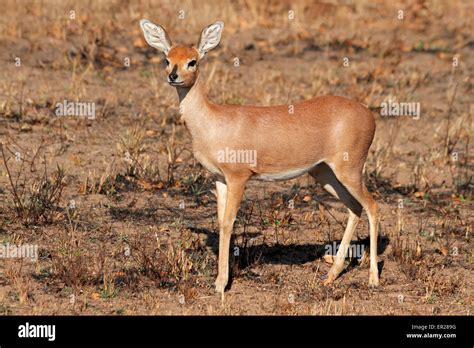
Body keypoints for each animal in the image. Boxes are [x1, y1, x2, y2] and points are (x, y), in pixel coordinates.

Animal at [139, 19, 380, 298]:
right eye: (166, 59)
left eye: (192, 61)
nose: (173, 76)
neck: (212, 122)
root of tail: (369, 114)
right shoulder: (220, 179)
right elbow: (220, 222)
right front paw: (220, 279)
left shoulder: (239, 177)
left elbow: (229, 222)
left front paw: (221, 284)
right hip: (324, 173)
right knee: (355, 208)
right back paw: (330, 276)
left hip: (349, 170)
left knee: (372, 206)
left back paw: (373, 279)